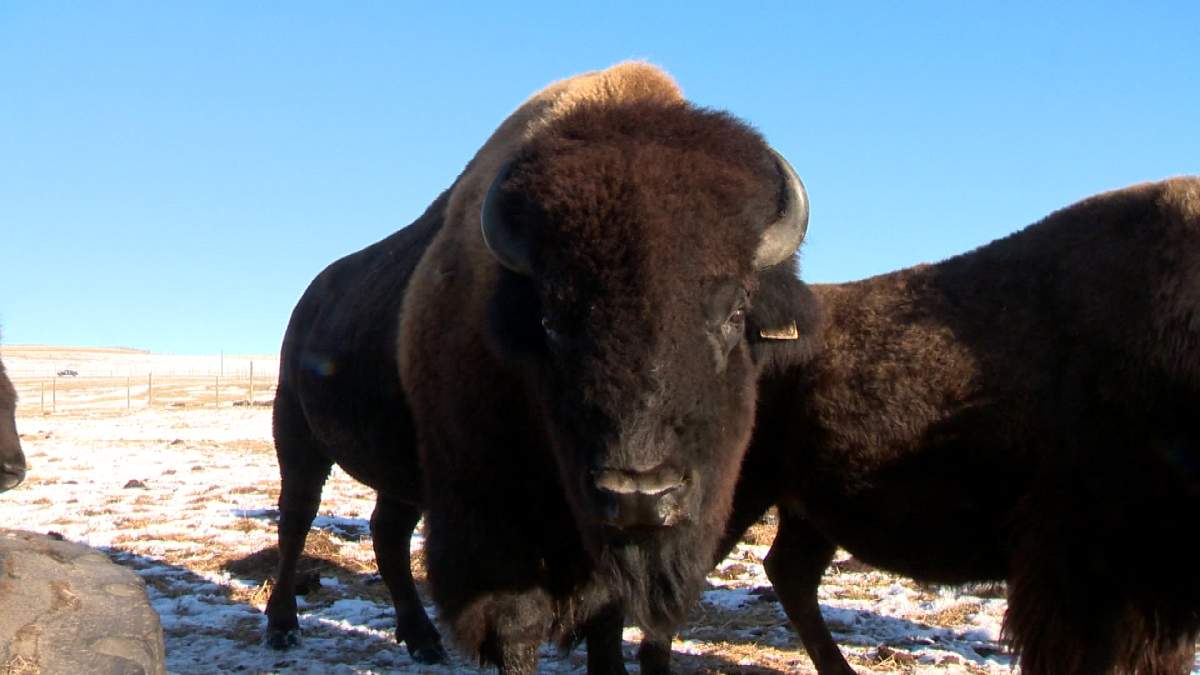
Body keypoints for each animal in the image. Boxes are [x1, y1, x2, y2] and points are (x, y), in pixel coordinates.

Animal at [266, 62, 811, 673]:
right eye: (550, 319)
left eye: (735, 312)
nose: (640, 494)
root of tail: (310, 300)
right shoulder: (493, 529)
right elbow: (516, 627)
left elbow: (605, 622)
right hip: (298, 439)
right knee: (296, 520)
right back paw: (282, 628)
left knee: (387, 533)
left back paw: (423, 639)